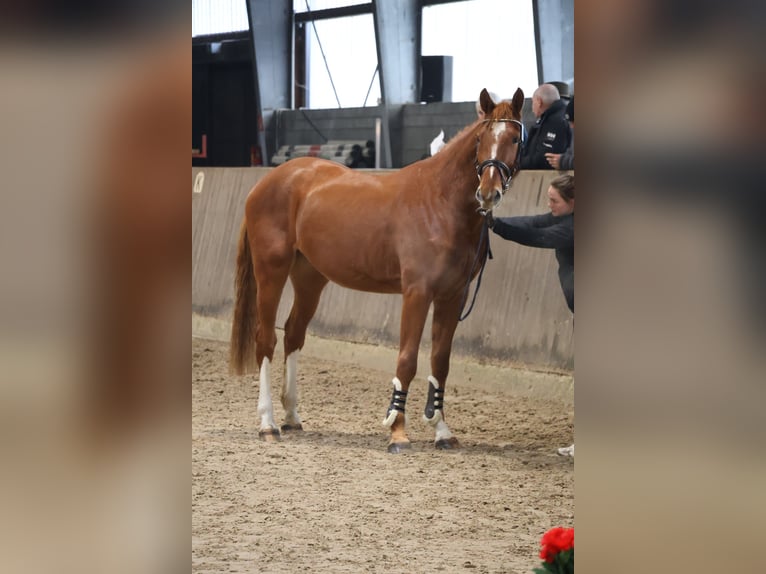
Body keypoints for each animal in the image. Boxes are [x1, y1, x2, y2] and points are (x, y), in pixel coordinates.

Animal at [229, 88, 525, 453]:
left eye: (514, 138)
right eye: (481, 138)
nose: (487, 193)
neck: (440, 203)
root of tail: (267, 182)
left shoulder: (453, 296)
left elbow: (440, 361)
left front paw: (442, 431)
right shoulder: (417, 293)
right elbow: (407, 359)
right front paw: (397, 431)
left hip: (310, 277)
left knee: (293, 334)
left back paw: (292, 417)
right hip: (271, 271)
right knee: (265, 339)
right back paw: (268, 424)